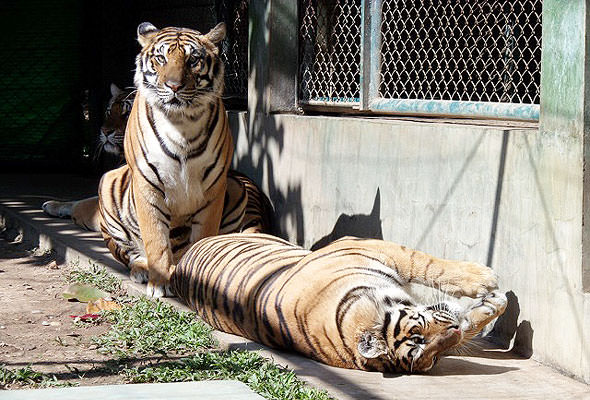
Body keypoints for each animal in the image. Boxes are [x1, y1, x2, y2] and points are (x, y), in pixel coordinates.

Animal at [172, 233, 508, 374]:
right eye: (424, 347)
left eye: (435, 356)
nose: (454, 332)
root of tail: (179, 263)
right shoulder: (364, 246)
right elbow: (424, 263)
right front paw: (488, 281)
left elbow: (423, 265)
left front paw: (491, 303)